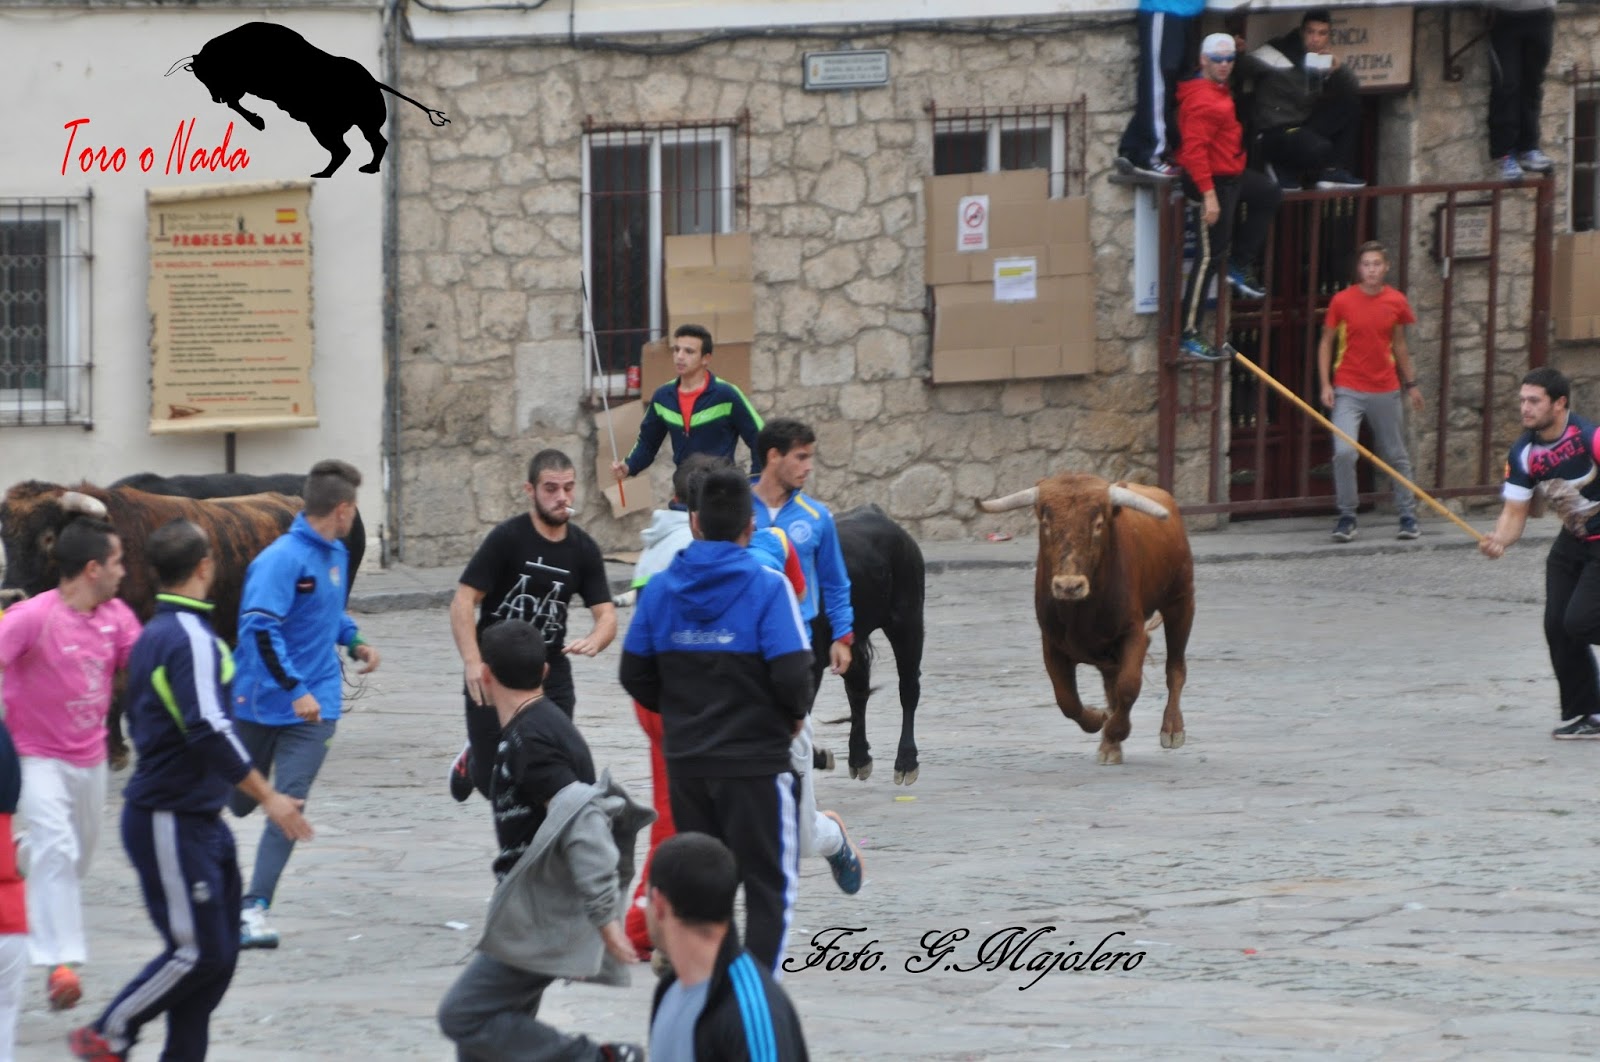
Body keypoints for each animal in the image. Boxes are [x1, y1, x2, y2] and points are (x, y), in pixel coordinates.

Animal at [166, 22, 449, 178]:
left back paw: (328, 173)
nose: (215, 98)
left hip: (325, 127)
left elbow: (237, 102)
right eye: (201, 77)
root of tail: (371, 81)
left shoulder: (242, 85)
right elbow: (236, 103)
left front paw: (258, 122)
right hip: (362, 125)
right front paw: (258, 121)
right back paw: (364, 169)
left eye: (209, 73)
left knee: (344, 149)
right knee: (373, 143)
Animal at [976, 473, 1195, 766]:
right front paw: (1100, 721)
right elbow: (1067, 700)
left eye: (1099, 524)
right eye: (1046, 523)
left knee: (1175, 667)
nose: (1069, 586)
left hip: (1181, 601)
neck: (1081, 612)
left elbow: (1129, 686)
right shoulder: (1052, 644)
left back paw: (1172, 728)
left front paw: (1116, 730)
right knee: (1111, 684)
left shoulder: (1133, 632)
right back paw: (1110, 743)